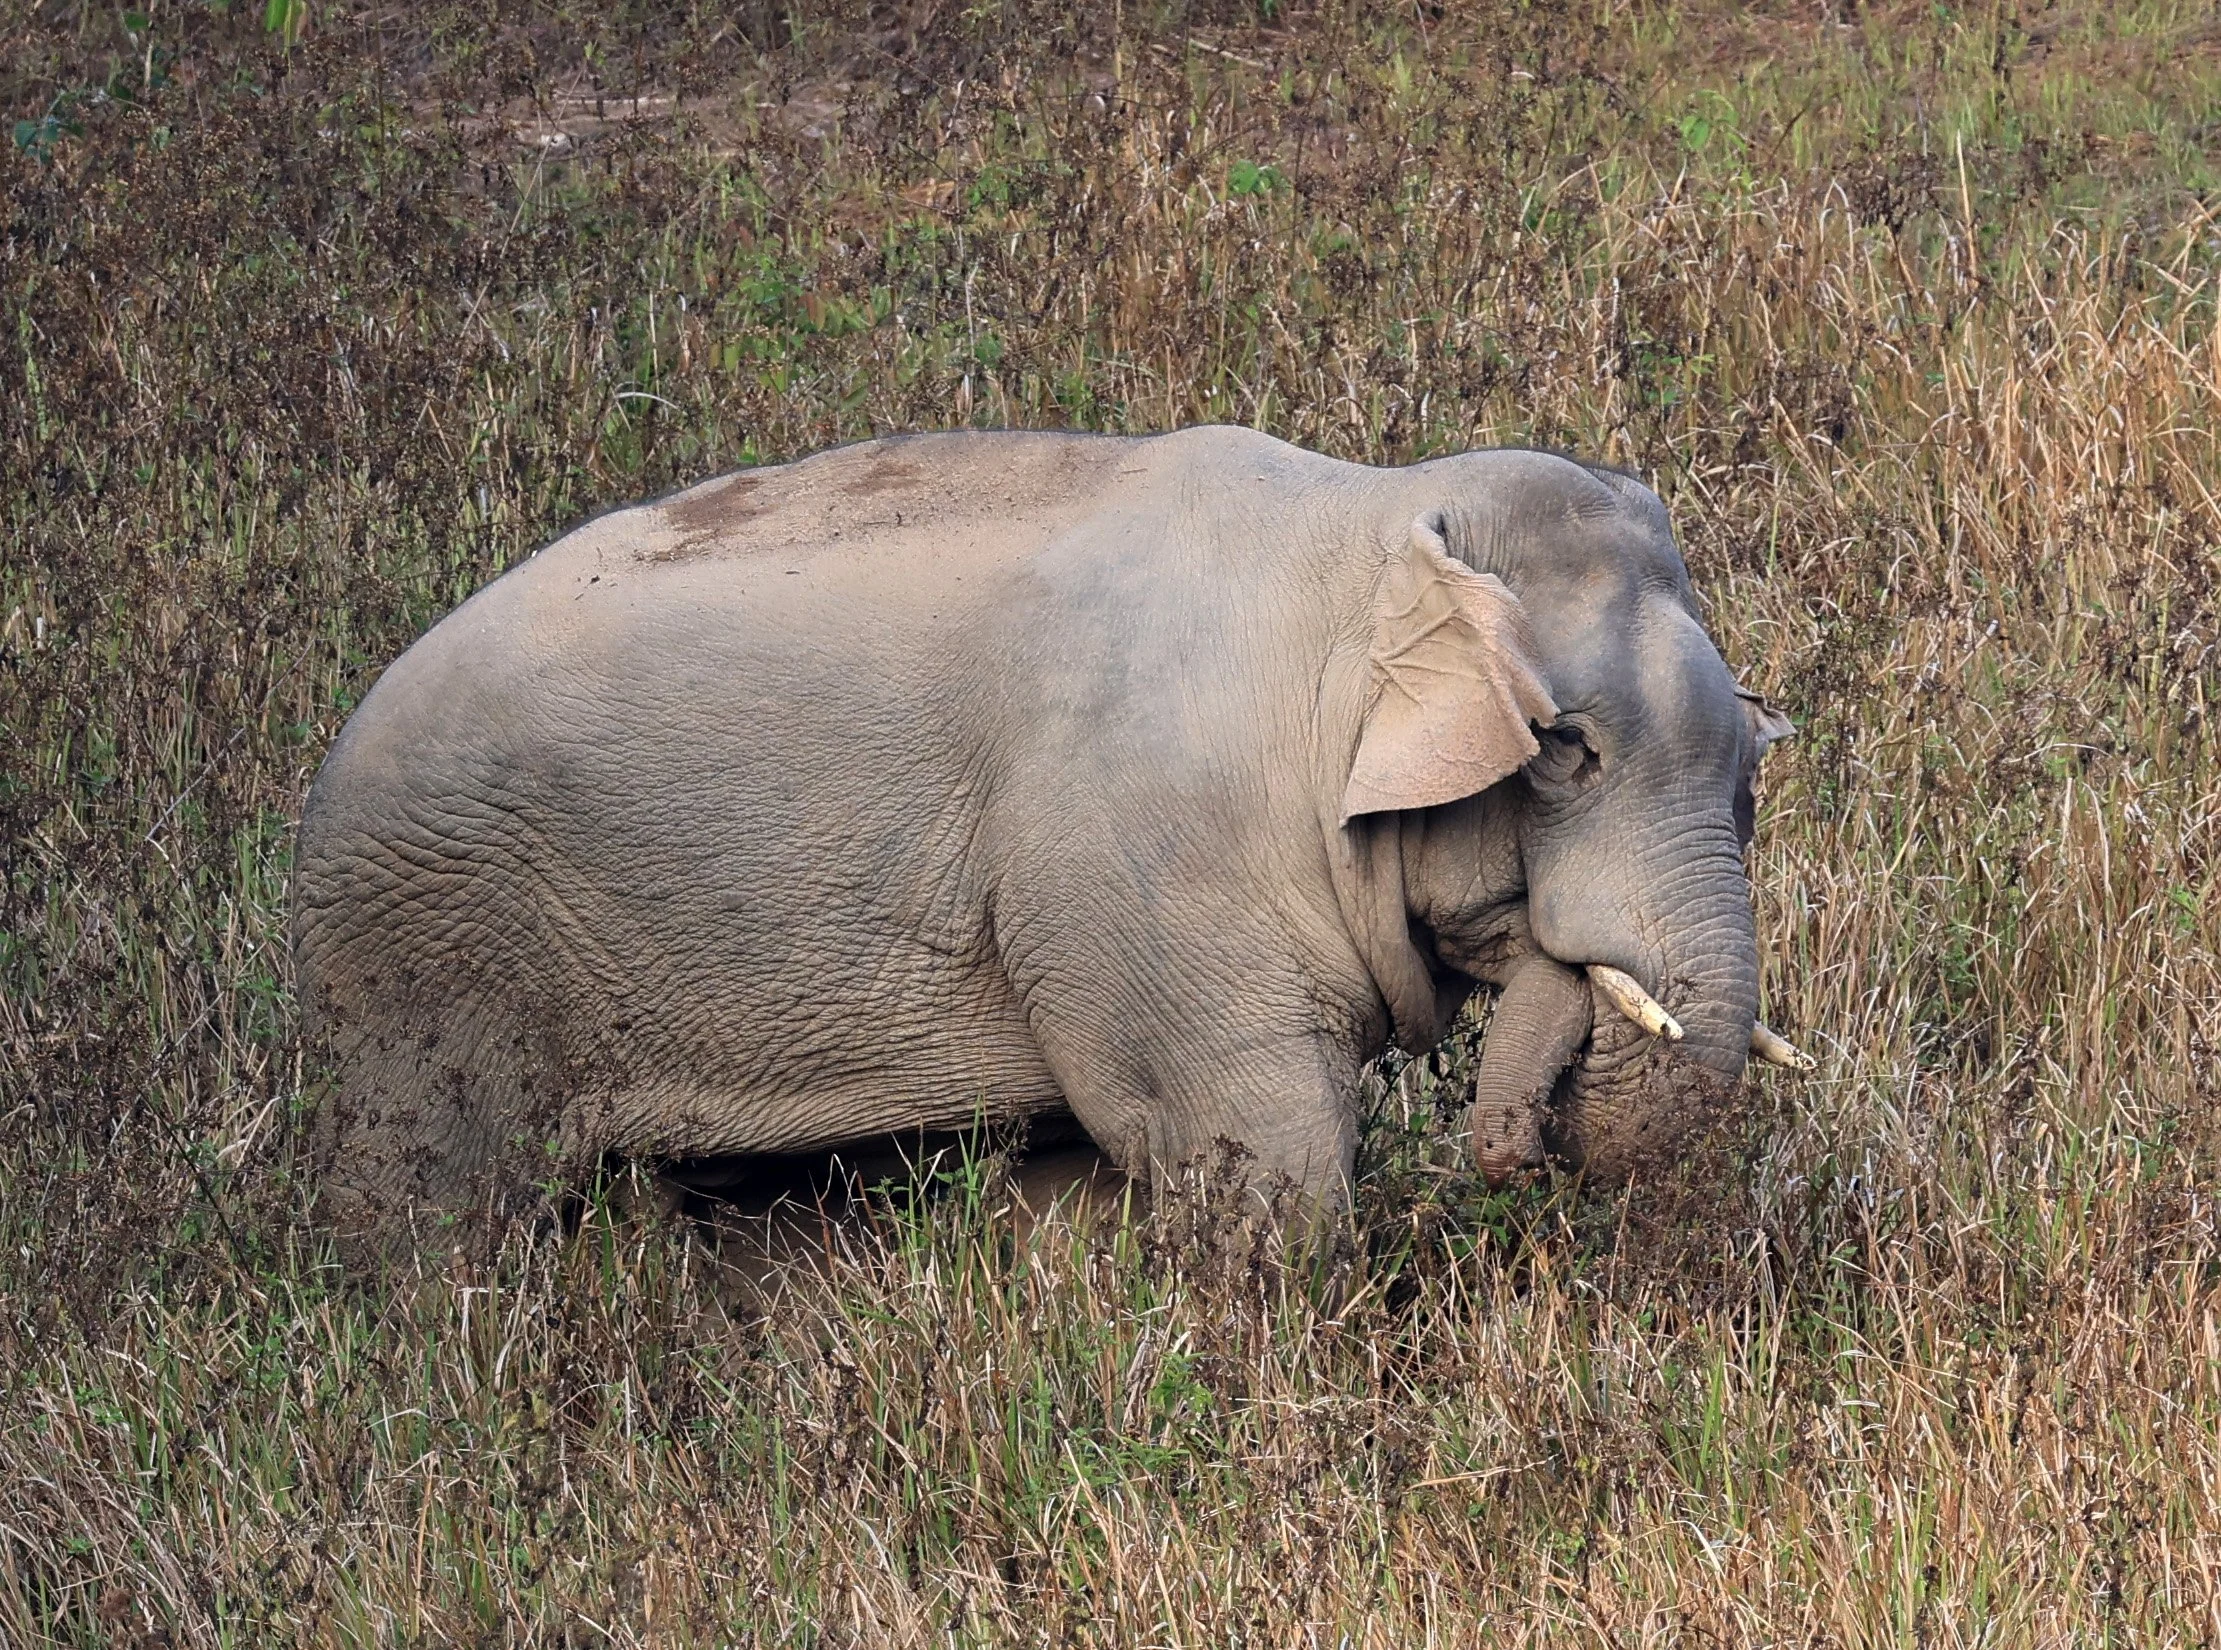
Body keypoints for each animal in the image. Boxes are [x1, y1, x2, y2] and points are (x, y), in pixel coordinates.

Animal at [291, 425, 1804, 1247]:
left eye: (1747, 776)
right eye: (1565, 751)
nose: (1509, 1152)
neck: (1365, 522)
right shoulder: (1149, 875)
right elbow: (1261, 1151)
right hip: (425, 967)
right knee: (441, 1222)